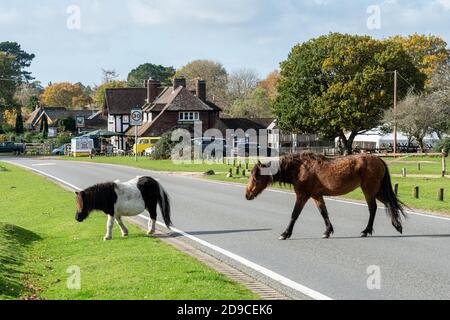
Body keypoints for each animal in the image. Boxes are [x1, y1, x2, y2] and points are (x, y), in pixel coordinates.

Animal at [244, 153, 406, 240]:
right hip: (377, 191)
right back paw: (397, 225)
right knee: (389, 203)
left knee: (373, 208)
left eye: (256, 178)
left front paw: (285, 233)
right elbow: (324, 213)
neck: (300, 169)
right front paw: (327, 231)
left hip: (369, 190)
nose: (247, 195)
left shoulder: (302, 196)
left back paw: (366, 231)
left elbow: (294, 215)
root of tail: (378, 159)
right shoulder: (316, 196)